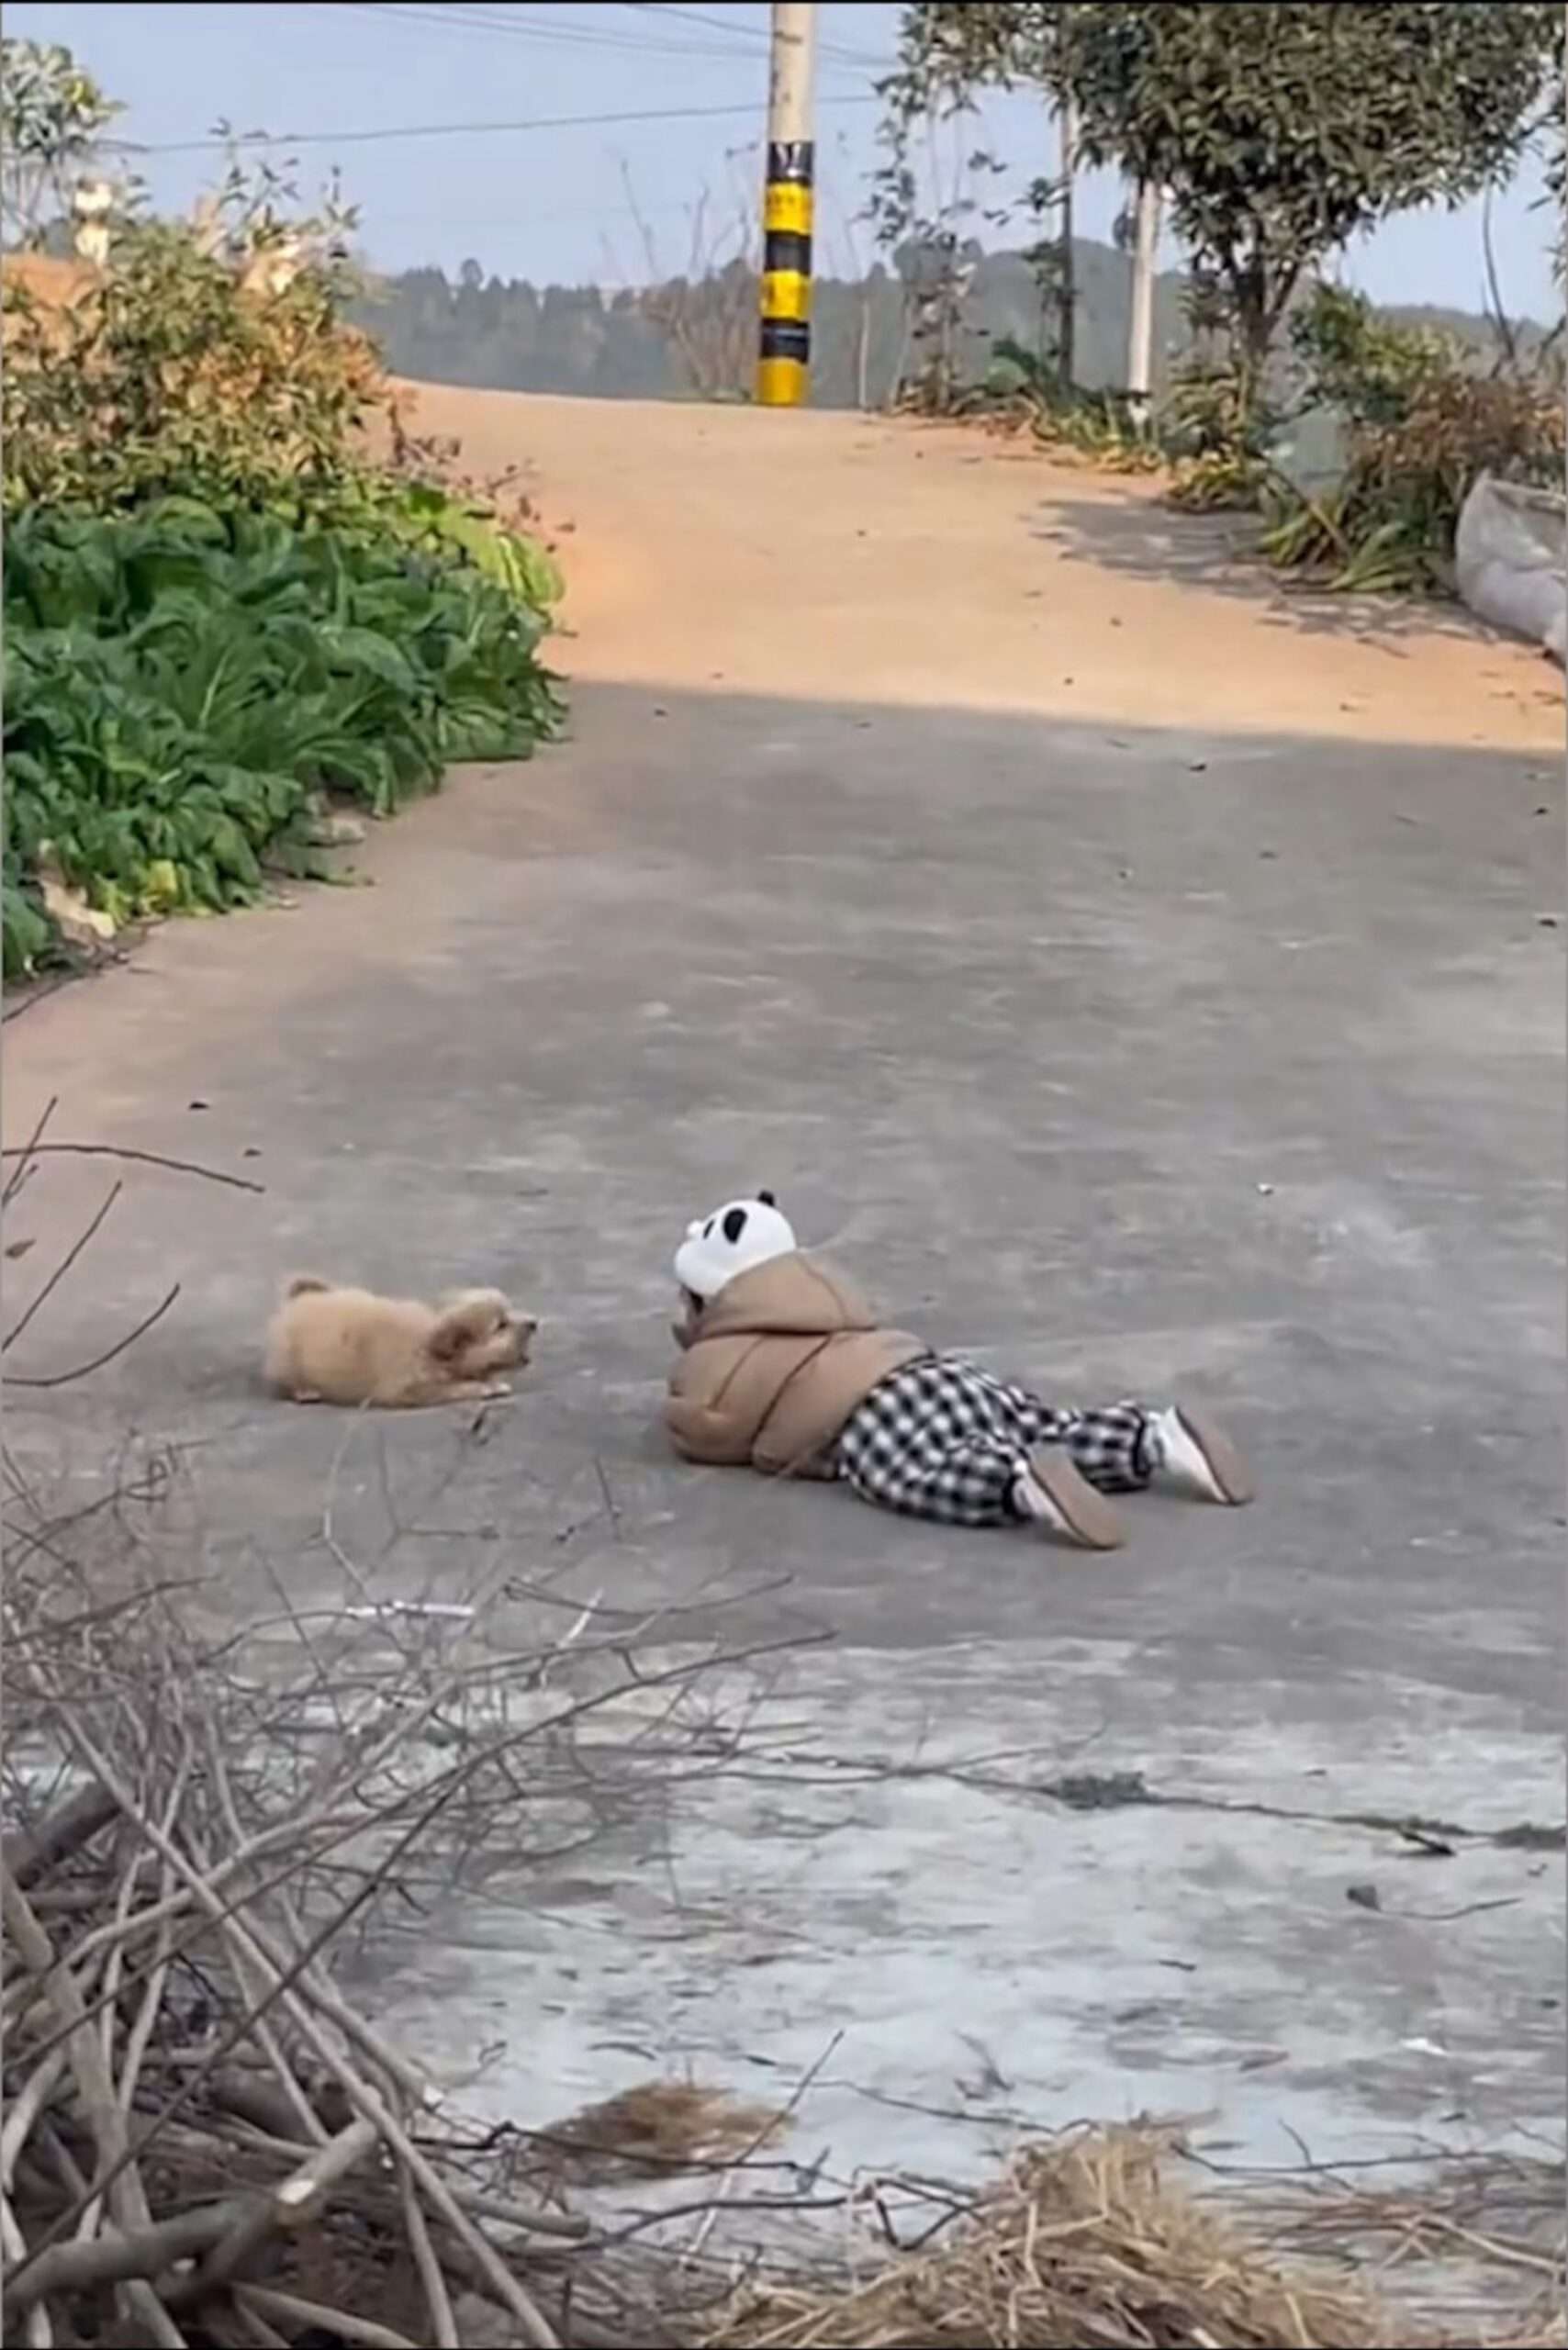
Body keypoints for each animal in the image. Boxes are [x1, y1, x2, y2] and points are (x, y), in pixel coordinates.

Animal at [266, 1278, 535, 1400]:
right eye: (501, 1325)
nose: (534, 1323)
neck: (428, 1348)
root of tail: (300, 1299)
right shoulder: (409, 1389)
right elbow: (454, 1388)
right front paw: (487, 1387)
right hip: (289, 1360)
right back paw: (306, 1392)